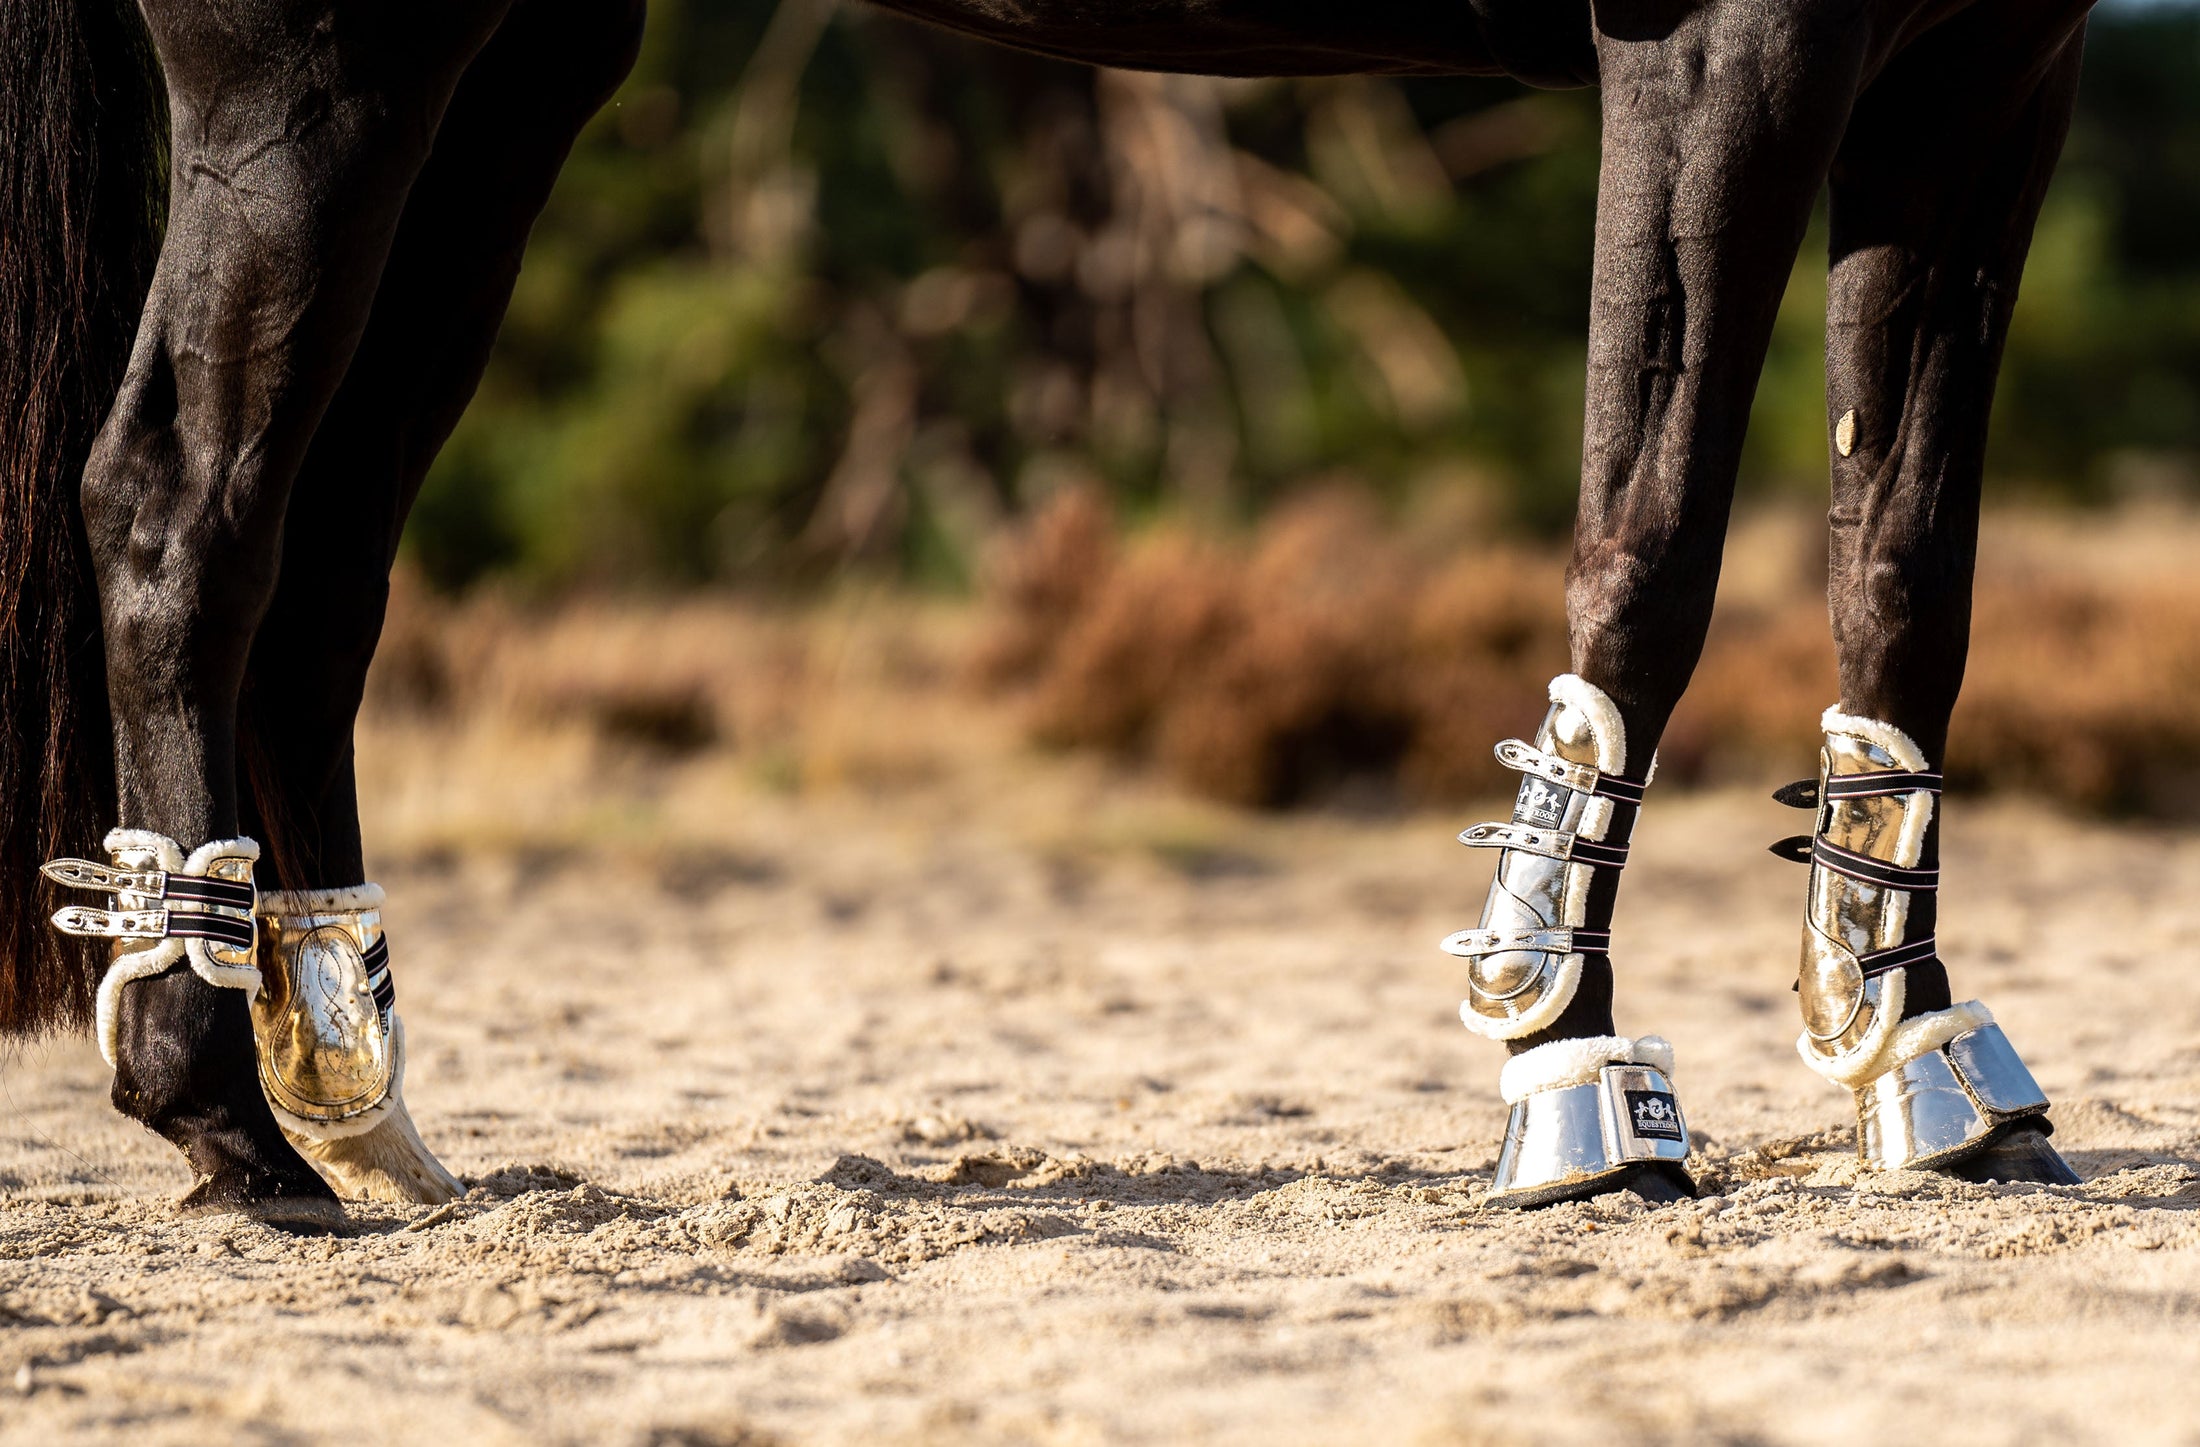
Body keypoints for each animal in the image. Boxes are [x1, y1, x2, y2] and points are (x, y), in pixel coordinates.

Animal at [0, 0, 2094, 1224]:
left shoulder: (1987, 68)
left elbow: (1910, 567)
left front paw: (1928, 1058)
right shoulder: (1728, 39)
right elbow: (1646, 539)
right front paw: (1570, 1073)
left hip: (506, 77)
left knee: (323, 556)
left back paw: (350, 1098)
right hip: (320, 73)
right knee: (180, 498)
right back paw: (217, 1114)